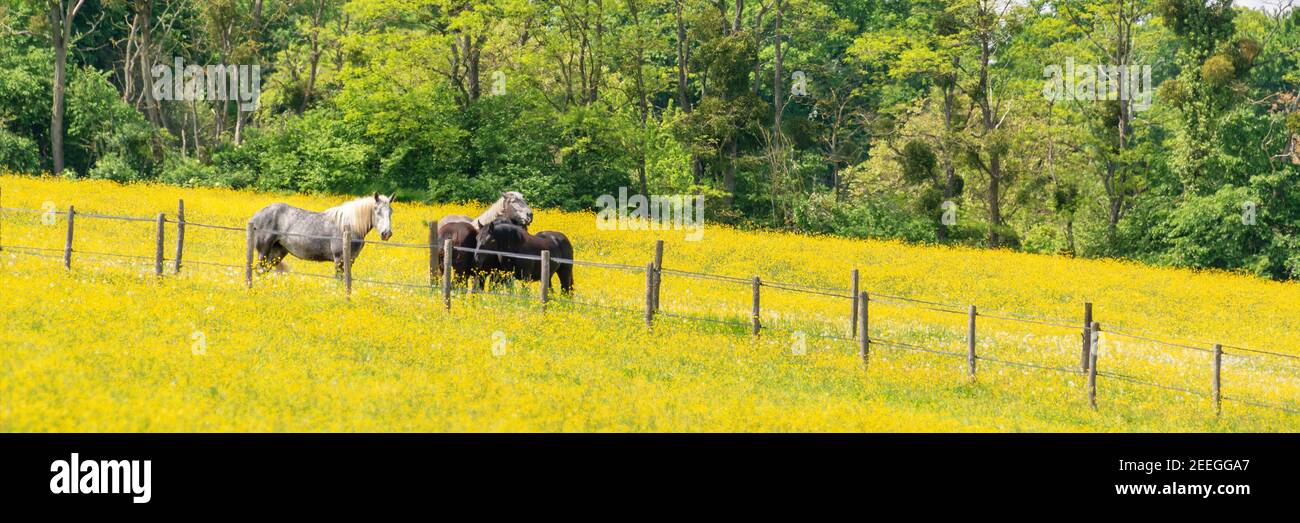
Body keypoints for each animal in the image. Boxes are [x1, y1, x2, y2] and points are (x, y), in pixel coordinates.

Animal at [249, 193, 394, 276]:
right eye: (377, 211)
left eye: (391, 211)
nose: (386, 233)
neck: (349, 226)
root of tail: (255, 216)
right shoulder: (339, 259)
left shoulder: (350, 260)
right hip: (263, 251)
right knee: (259, 270)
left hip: (278, 252)